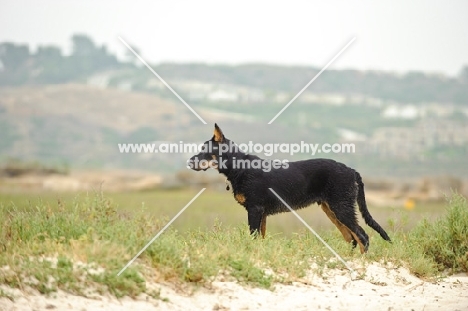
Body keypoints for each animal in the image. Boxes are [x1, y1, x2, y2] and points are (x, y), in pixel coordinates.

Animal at [188, 124, 390, 254]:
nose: (189, 162)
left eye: (205, 150)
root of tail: (352, 171)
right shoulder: (261, 214)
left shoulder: (254, 209)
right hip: (332, 210)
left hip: (341, 208)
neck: (240, 167)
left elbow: (253, 237)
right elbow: (260, 238)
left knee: (362, 237)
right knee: (352, 238)